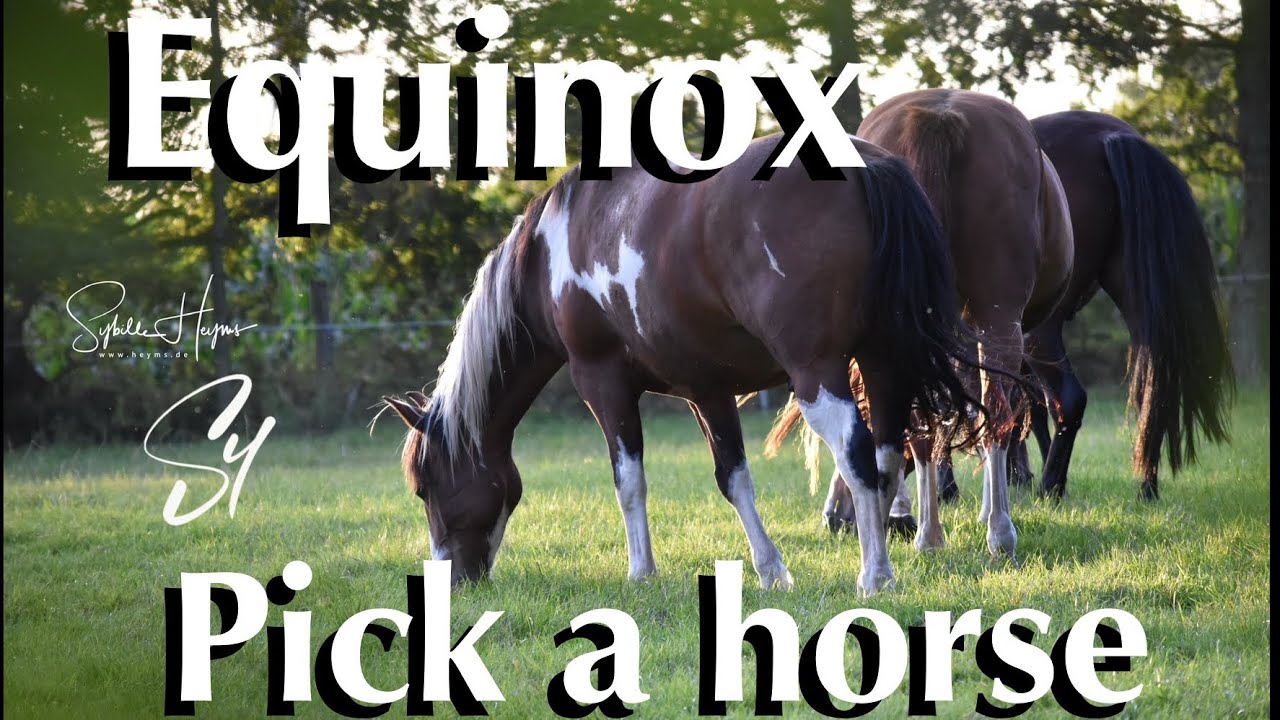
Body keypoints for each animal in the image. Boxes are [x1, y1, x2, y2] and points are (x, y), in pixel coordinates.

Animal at [382, 132, 981, 595]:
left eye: (424, 487)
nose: (451, 579)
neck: (553, 257)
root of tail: (864, 161)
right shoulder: (706, 389)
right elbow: (733, 479)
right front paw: (772, 572)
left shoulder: (602, 381)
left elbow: (629, 481)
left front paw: (641, 572)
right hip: (883, 363)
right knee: (887, 457)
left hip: (818, 373)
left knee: (857, 457)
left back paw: (875, 577)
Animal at [767, 89, 1074, 558]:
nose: (836, 519)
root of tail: (940, 114)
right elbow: (976, 412)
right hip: (997, 320)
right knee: (991, 419)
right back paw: (989, 531)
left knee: (923, 424)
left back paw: (933, 533)